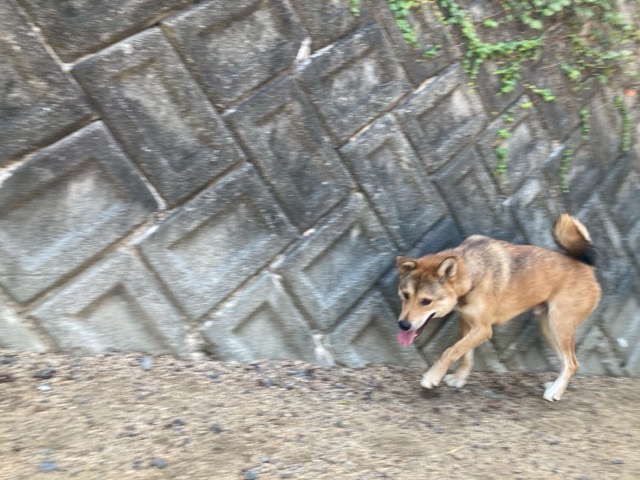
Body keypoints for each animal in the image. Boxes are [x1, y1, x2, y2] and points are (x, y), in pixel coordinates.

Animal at [395, 214, 601, 401]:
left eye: (426, 301)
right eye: (405, 295)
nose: (403, 325)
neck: (472, 274)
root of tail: (587, 266)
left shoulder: (483, 329)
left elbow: (450, 351)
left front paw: (432, 377)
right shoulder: (468, 322)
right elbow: (465, 355)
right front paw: (459, 378)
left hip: (559, 326)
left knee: (572, 363)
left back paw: (556, 392)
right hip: (549, 328)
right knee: (566, 362)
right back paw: (554, 385)